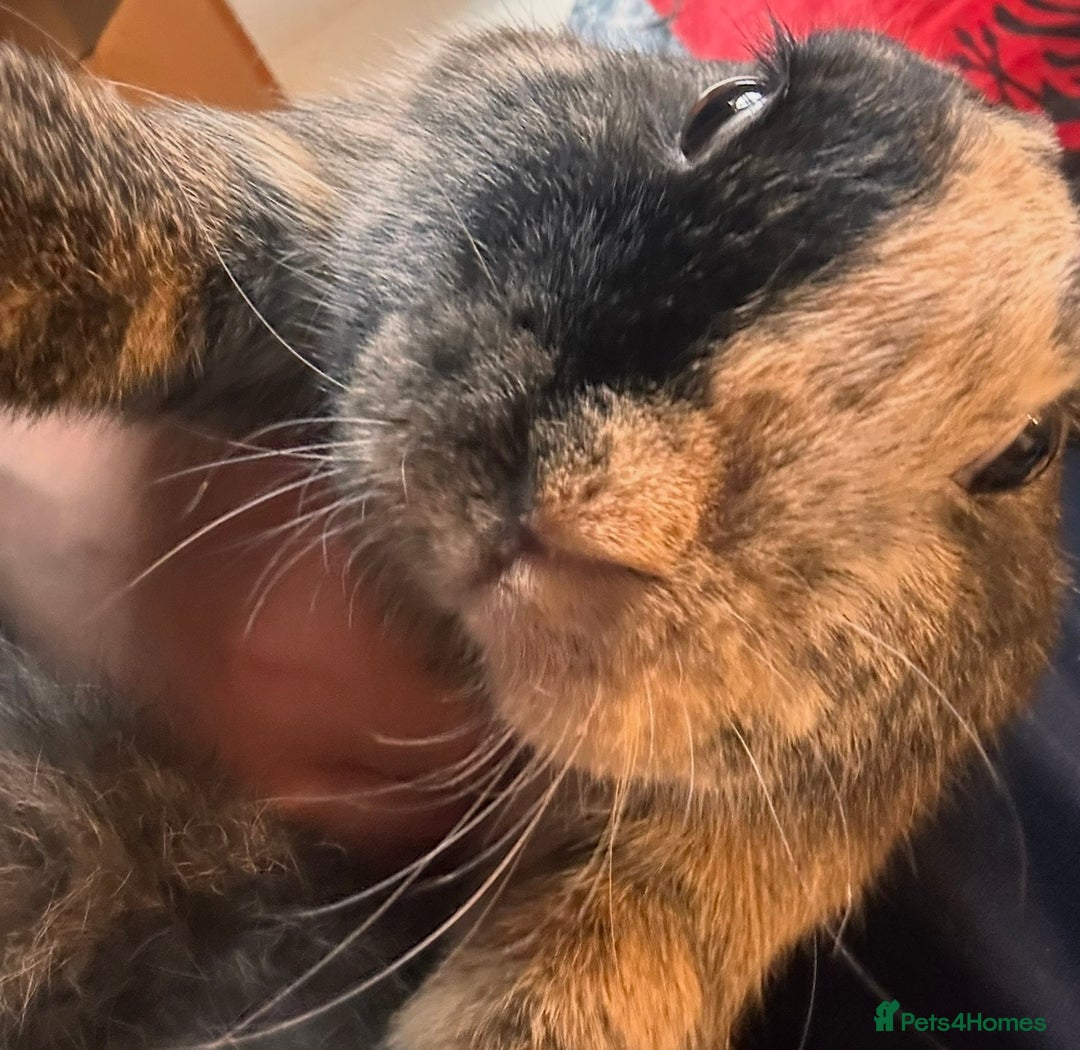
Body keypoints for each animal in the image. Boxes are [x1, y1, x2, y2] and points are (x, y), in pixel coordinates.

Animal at [0, 21, 1076, 1050]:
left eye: (1027, 451)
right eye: (727, 110)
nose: (591, 499)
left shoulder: (713, 865)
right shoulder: (308, 190)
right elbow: (143, 211)